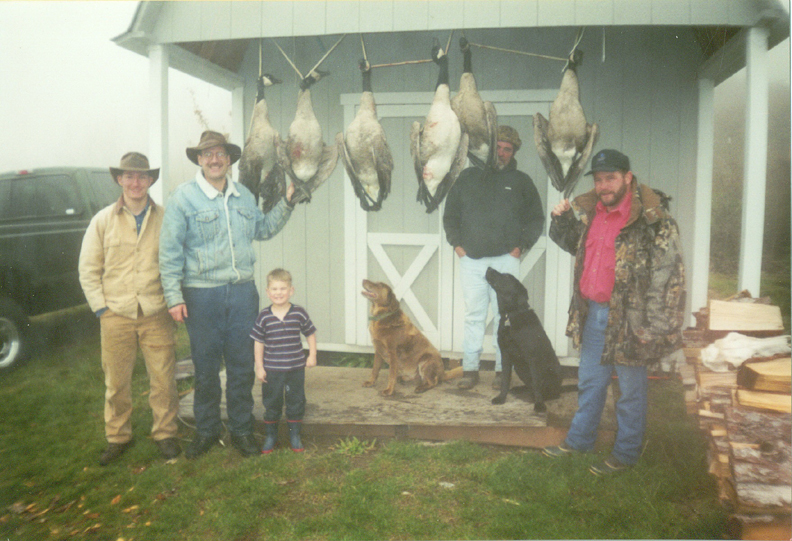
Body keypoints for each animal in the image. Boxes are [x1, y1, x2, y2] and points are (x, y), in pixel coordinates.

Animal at [482, 268, 564, 412]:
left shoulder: (532, 357)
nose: (489, 268)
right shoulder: (505, 355)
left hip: (549, 372)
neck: (510, 315)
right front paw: (501, 398)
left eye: (506, 277)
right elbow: (505, 380)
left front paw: (539, 404)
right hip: (520, 368)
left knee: (548, 391)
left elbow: (536, 383)